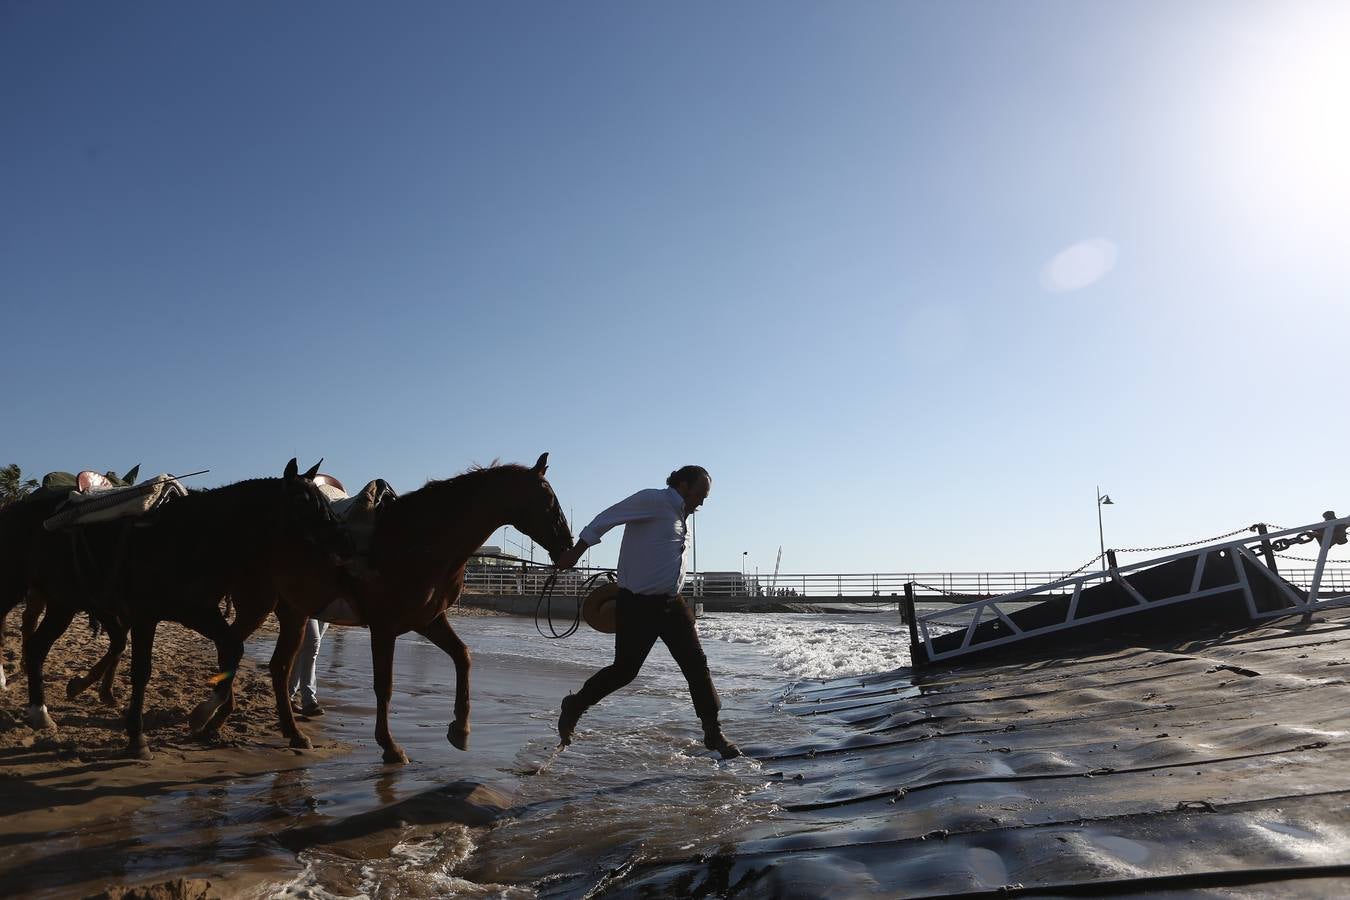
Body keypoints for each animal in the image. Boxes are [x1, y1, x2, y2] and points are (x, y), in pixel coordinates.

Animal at [22, 458, 348, 761]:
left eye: (324, 500)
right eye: (302, 501)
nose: (343, 547)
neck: (192, 539)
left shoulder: (198, 612)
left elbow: (233, 649)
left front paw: (202, 715)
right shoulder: (146, 616)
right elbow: (142, 671)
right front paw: (137, 738)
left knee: (53, 645)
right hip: (64, 602)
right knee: (39, 643)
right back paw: (43, 710)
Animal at [251, 453, 572, 766]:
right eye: (547, 498)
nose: (567, 547)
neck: (417, 540)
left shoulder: (429, 620)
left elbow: (463, 656)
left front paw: (460, 729)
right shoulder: (384, 627)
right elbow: (384, 685)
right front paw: (389, 746)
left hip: (294, 614)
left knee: (280, 667)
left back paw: (294, 732)